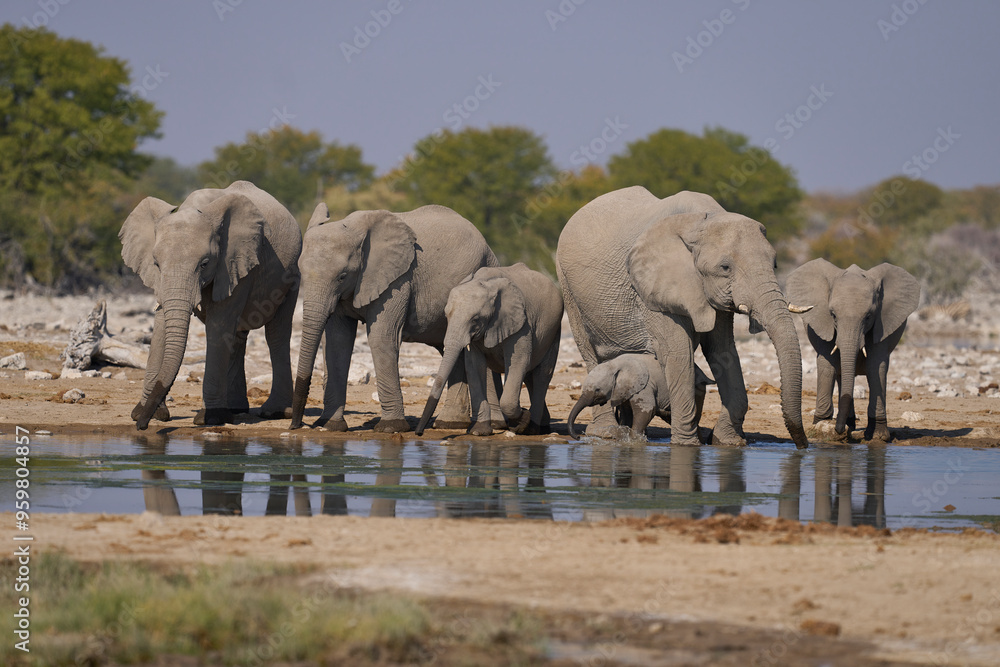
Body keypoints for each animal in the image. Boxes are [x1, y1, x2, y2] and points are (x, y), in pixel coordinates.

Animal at [119, 180, 301, 430]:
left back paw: (273, 412)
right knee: (237, 336)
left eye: (204, 264)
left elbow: (218, 324)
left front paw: (211, 419)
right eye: (156, 263)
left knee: (276, 334)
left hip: (291, 277)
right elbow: (162, 325)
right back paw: (235, 409)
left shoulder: (235, 262)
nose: (141, 428)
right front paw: (146, 414)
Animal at [289, 203, 499, 433]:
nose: (295, 425)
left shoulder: (398, 280)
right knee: (452, 350)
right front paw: (330, 426)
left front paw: (391, 427)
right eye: (301, 271)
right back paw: (450, 423)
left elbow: (381, 338)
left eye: (342, 276)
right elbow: (337, 342)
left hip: (488, 269)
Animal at [415, 263, 563, 437]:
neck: (485, 282)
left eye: (475, 319)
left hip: (554, 331)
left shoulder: (522, 323)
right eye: (446, 315)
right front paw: (479, 432)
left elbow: (518, 362)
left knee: (542, 374)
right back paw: (541, 426)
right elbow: (474, 365)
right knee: (530, 376)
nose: (419, 433)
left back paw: (532, 429)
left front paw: (522, 421)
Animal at [567, 354, 714, 439]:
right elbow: (627, 414)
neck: (614, 364)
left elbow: (647, 410)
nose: (579, 437)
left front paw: (635, 440)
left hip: (697, 391)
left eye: (597, 390)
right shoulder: (623, 390)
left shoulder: (644, 386)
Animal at [786, 259, 920, 441]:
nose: (839, 431)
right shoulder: (823, 324)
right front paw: (819, 426)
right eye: (833, 315)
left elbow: (876, 367)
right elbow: (827, 365)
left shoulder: (881, 326)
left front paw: (878, 436)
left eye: (869, 316)